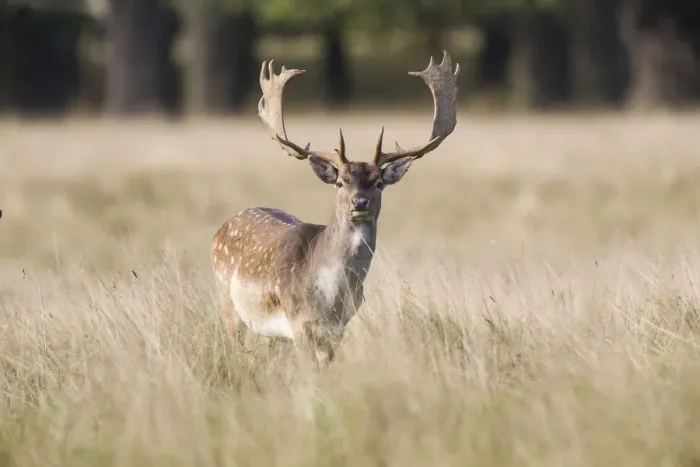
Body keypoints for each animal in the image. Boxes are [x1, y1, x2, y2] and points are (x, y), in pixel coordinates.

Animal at [211, 51, 459, 368]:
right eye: (340, 182)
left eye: (379, 183)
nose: (360, 202)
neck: (329, 296)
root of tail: (222, 227)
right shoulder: (297, 321)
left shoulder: (339, 327)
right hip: (228, 303)